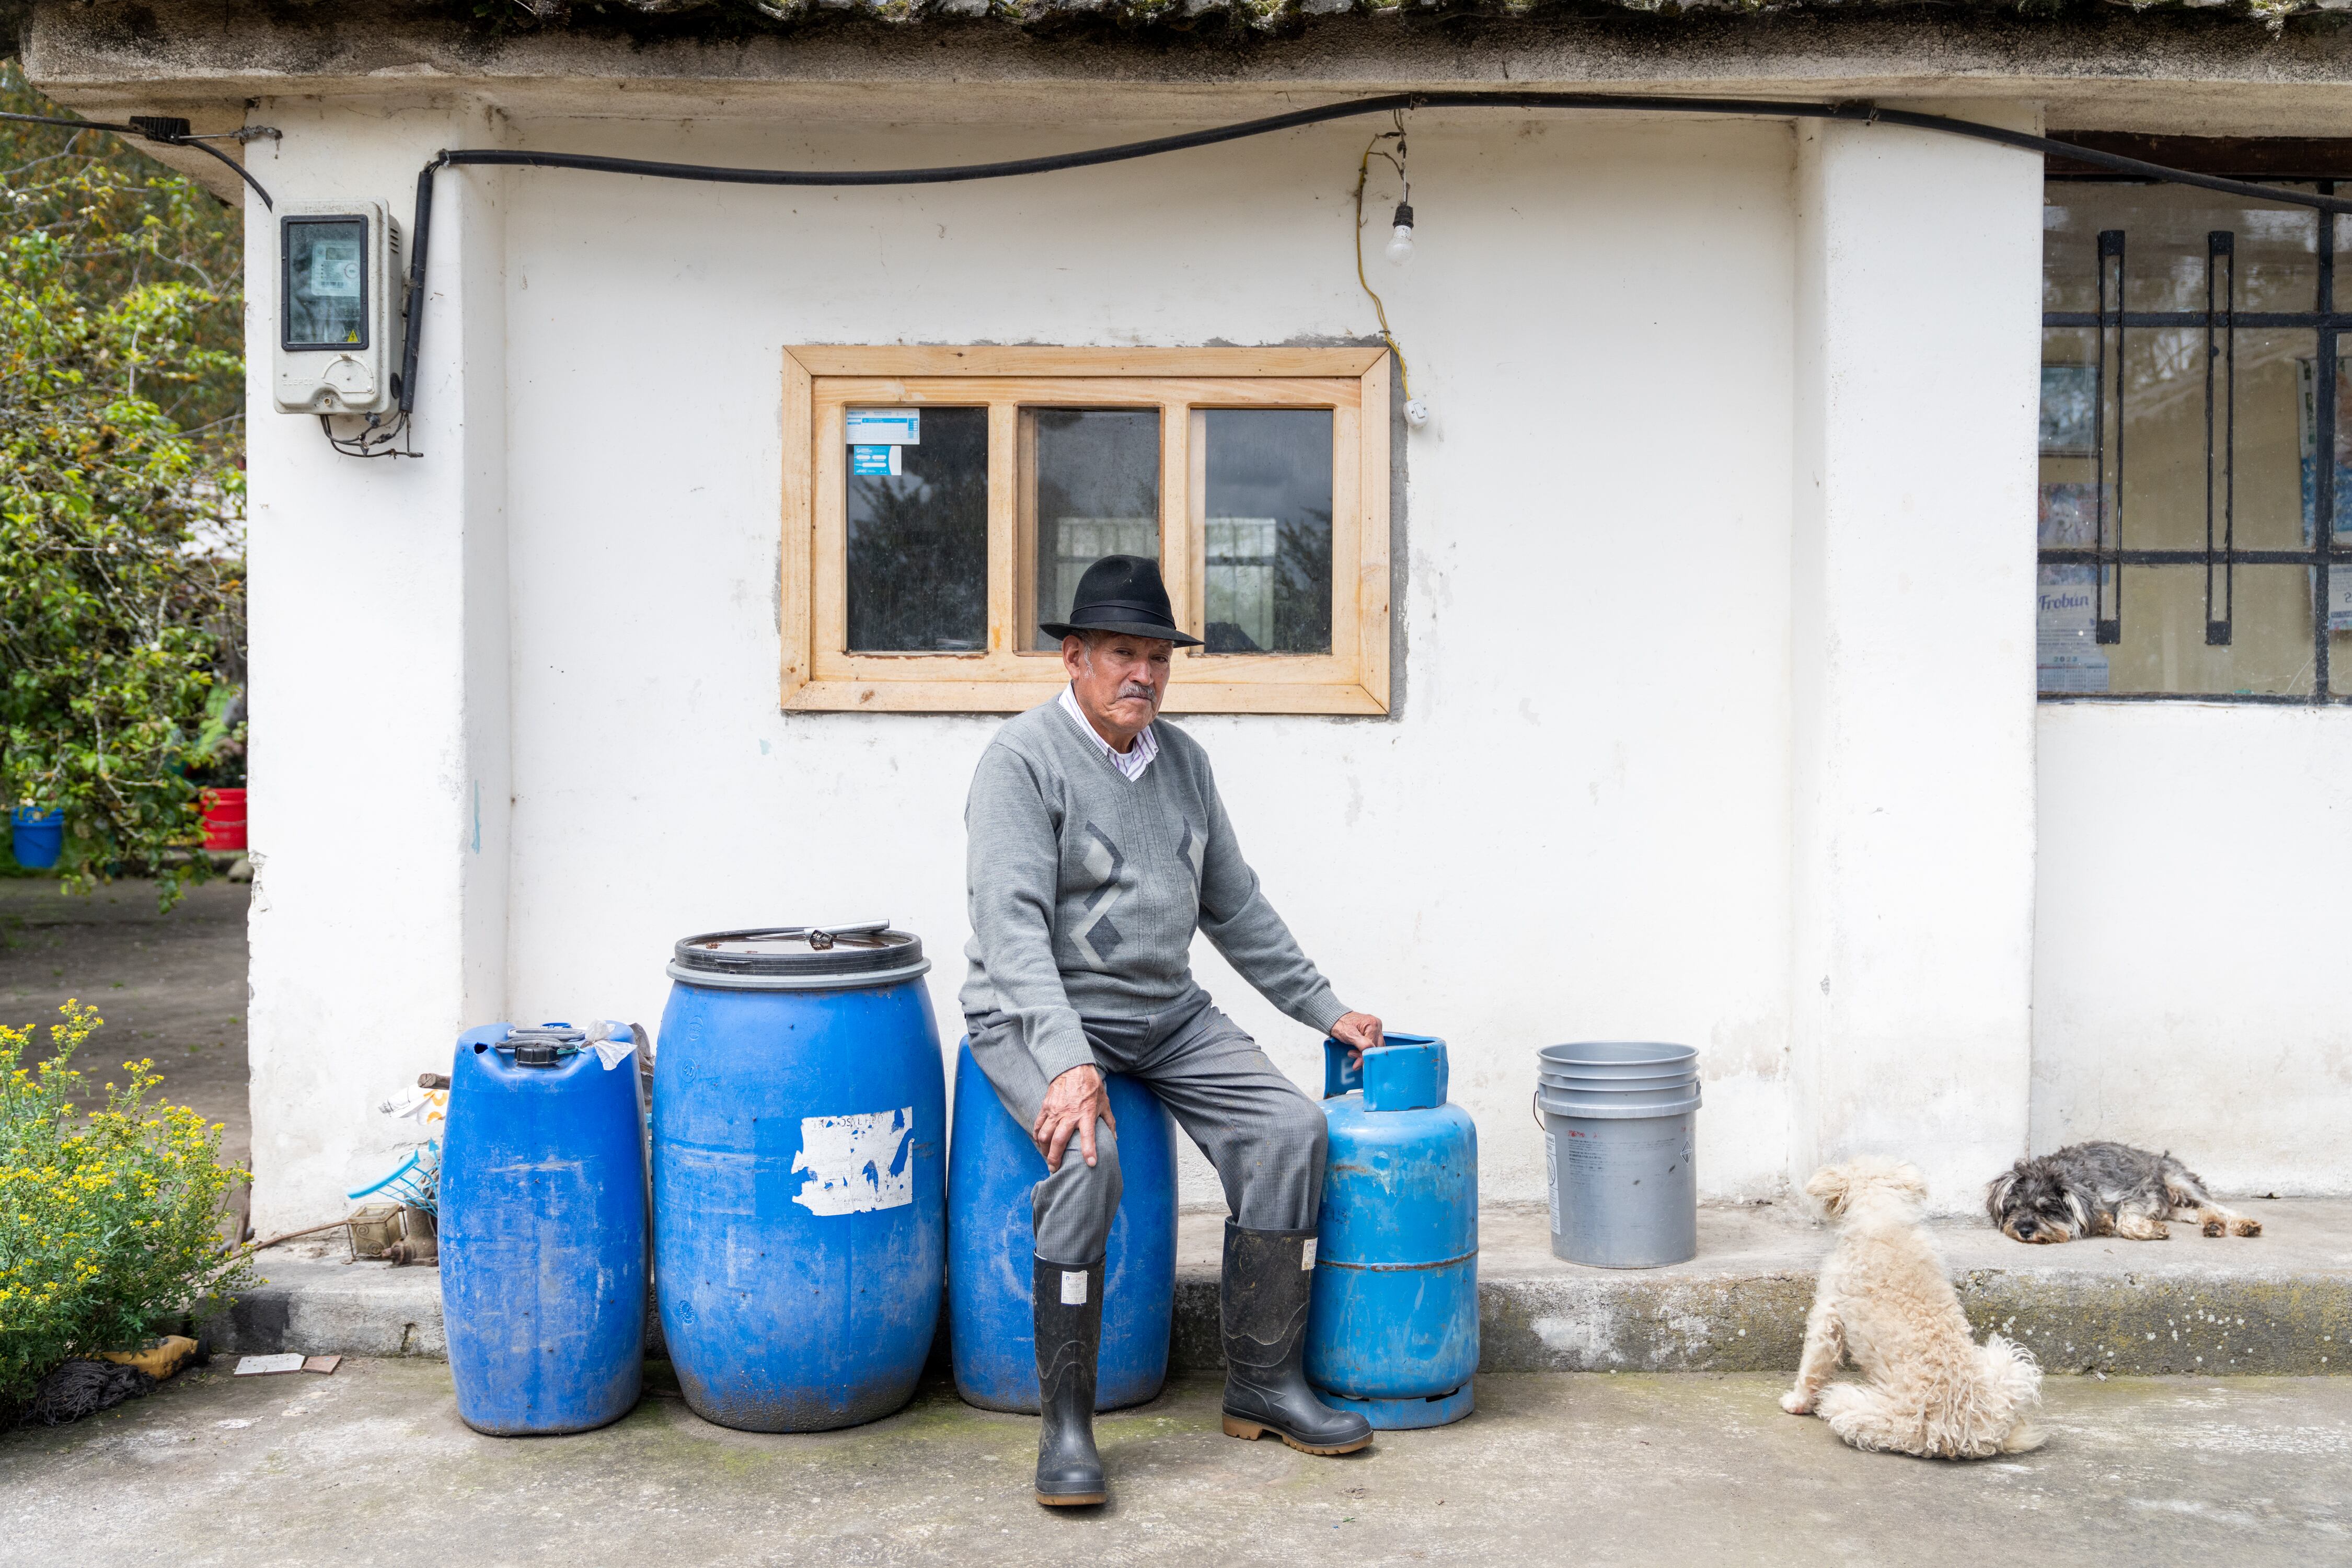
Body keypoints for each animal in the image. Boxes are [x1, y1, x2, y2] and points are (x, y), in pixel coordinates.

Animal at [1778, 1151, 2042, 1457]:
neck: (1882, 1218)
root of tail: (1968, 1435)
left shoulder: (1828, 1314)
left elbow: (1812, 1365)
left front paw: (1797, 1402)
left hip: (1853, 1405)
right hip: (2009, 1363)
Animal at [1985, 1142, 2258, 1250]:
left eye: (2046, 1209)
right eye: (2015, 1207)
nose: (2024, 1231)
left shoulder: (2138, 1194)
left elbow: (2126, 1222)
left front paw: (2151, 1230)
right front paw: (2104, 1223)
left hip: (2177, 1181)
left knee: (2217, 1205)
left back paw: (2244, 1224)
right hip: (2172, 1203)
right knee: (2194, 1212)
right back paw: (2213, 1224)